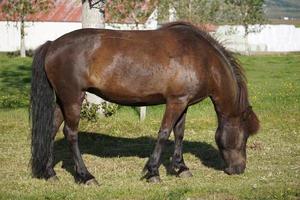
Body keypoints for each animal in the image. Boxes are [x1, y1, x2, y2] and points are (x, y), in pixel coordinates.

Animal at [31, 21, 260, 184]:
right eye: (245, 136)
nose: (239, 169)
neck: (202, 58)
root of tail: (52, 45)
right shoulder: (175, 102)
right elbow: (164, 133)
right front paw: (153, 172)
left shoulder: (183, 102)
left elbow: (179, 134)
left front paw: (181, 168)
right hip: (73, 99)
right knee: (70, 134)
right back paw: (86, 176)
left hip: (63, 100)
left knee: (51, 130)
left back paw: (49, 173)